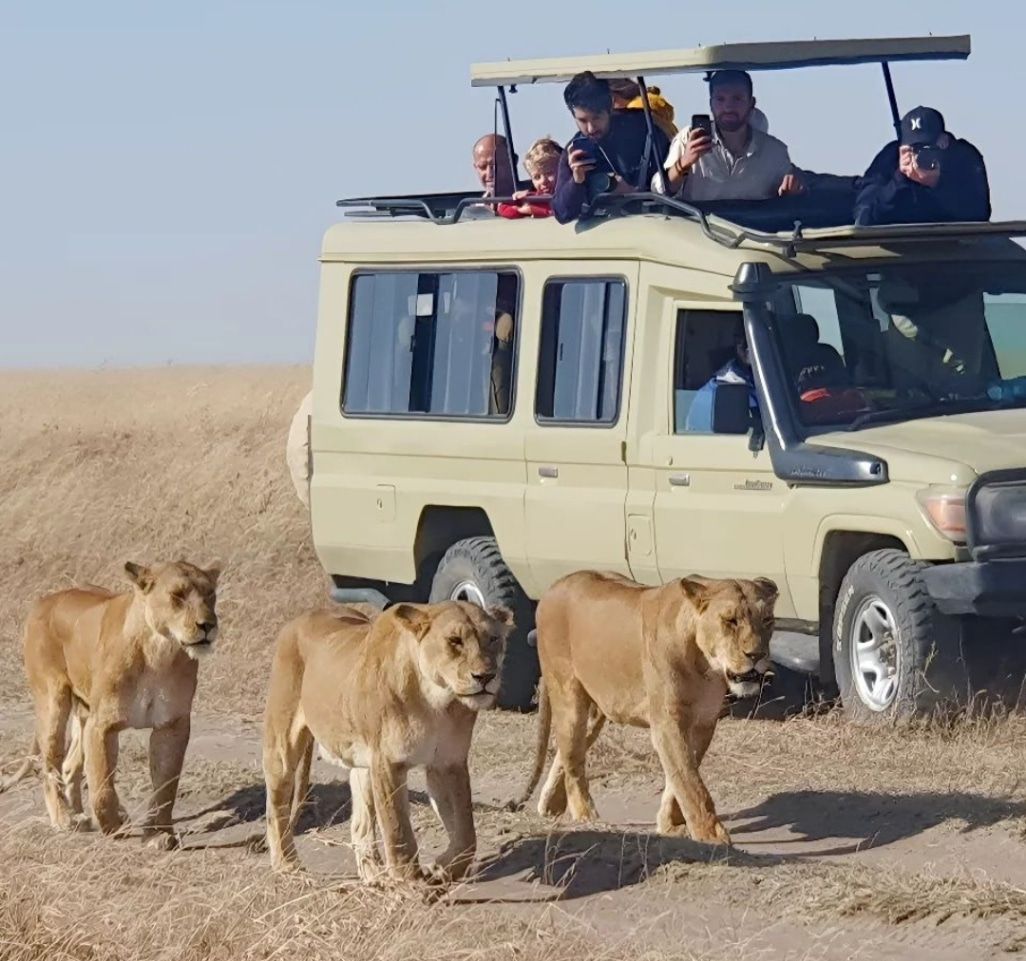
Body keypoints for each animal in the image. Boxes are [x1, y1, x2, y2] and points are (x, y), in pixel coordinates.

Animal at [6, 560, 221, 849]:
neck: (160, 651)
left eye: (210, 594)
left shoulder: (172, 724)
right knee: (51, 765)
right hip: (53, 702)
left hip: (84, 711)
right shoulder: (102, 725)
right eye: (177, 595)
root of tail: (46, 599)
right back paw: (64, 819)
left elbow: (166, 786)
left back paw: (79, 814)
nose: (207, 625)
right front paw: (112, 825)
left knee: (70, 764)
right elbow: (102, 786)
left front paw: (159, 833)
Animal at [262, 599, 513, 883]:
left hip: (361, 764)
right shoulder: (388, 762)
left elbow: (466, 832)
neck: (437, 701)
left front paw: (443, 868)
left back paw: (374, 877)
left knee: (360, 824)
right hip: (282, 747)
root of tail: (300, 619)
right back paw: (286, 864)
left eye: (493, 639)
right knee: (275, 808)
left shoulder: (447, 762)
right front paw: (410, 882)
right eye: (454, 641)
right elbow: (397, 829)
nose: (486, 676)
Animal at [512, 571, 778, 845]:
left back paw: (551, 805)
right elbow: (690, 781)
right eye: (730, 620)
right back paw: (586, 817)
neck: (705, 665)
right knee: (573, 756)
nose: (757, 655)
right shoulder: (667, 723)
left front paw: (669, 825)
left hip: (596, 710)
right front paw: (710, 834)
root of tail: (554, 586)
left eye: (767, 620)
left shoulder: (703, 722)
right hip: (569, 694)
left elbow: (681, 777)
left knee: (566, 750)